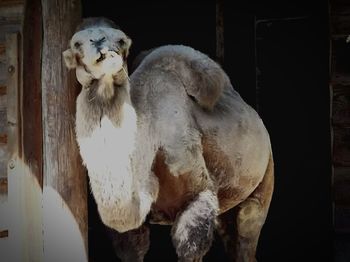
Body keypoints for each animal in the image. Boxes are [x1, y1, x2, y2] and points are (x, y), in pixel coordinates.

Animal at [63, 17, 274, 260]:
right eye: (76, 44)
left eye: (122, 41)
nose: (102, 48)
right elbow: (132, 247)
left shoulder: (197, 193)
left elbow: (190, 246)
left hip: (264, 178)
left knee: (247, 230)